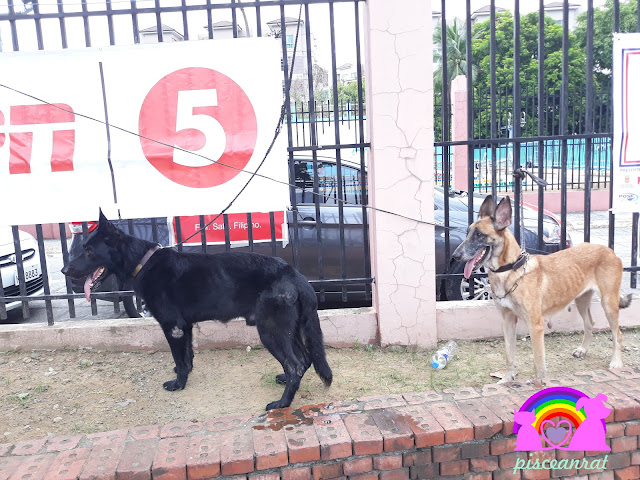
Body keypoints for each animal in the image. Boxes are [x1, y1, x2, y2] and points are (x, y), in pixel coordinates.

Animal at [62, 212, 332, 410]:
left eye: (89, 250)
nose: (65, 270)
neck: (143, 261)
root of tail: (294, 274)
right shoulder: (186, 327)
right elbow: (188, 356)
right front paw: (185, 374)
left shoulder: (173, 328)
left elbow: (179, 359)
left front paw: (178, 383)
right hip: (288, 330)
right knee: (304, 359)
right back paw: (286, 382)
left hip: (270, 331)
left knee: (295, 364)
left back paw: (283, 403)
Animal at [452, 195, 632, 382]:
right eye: (467, 233)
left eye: (479, 235)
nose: (454, 256)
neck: (511, 270)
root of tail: (609, 250)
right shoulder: (507, 321)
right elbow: (509, 356)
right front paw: (507, 380)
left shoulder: (536, 325)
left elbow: (538, 363)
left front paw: (539, 383)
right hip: (581, 300)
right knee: (590, 323)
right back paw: (583, 350)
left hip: (608, 303)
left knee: (617, 334)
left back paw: (616, 362)